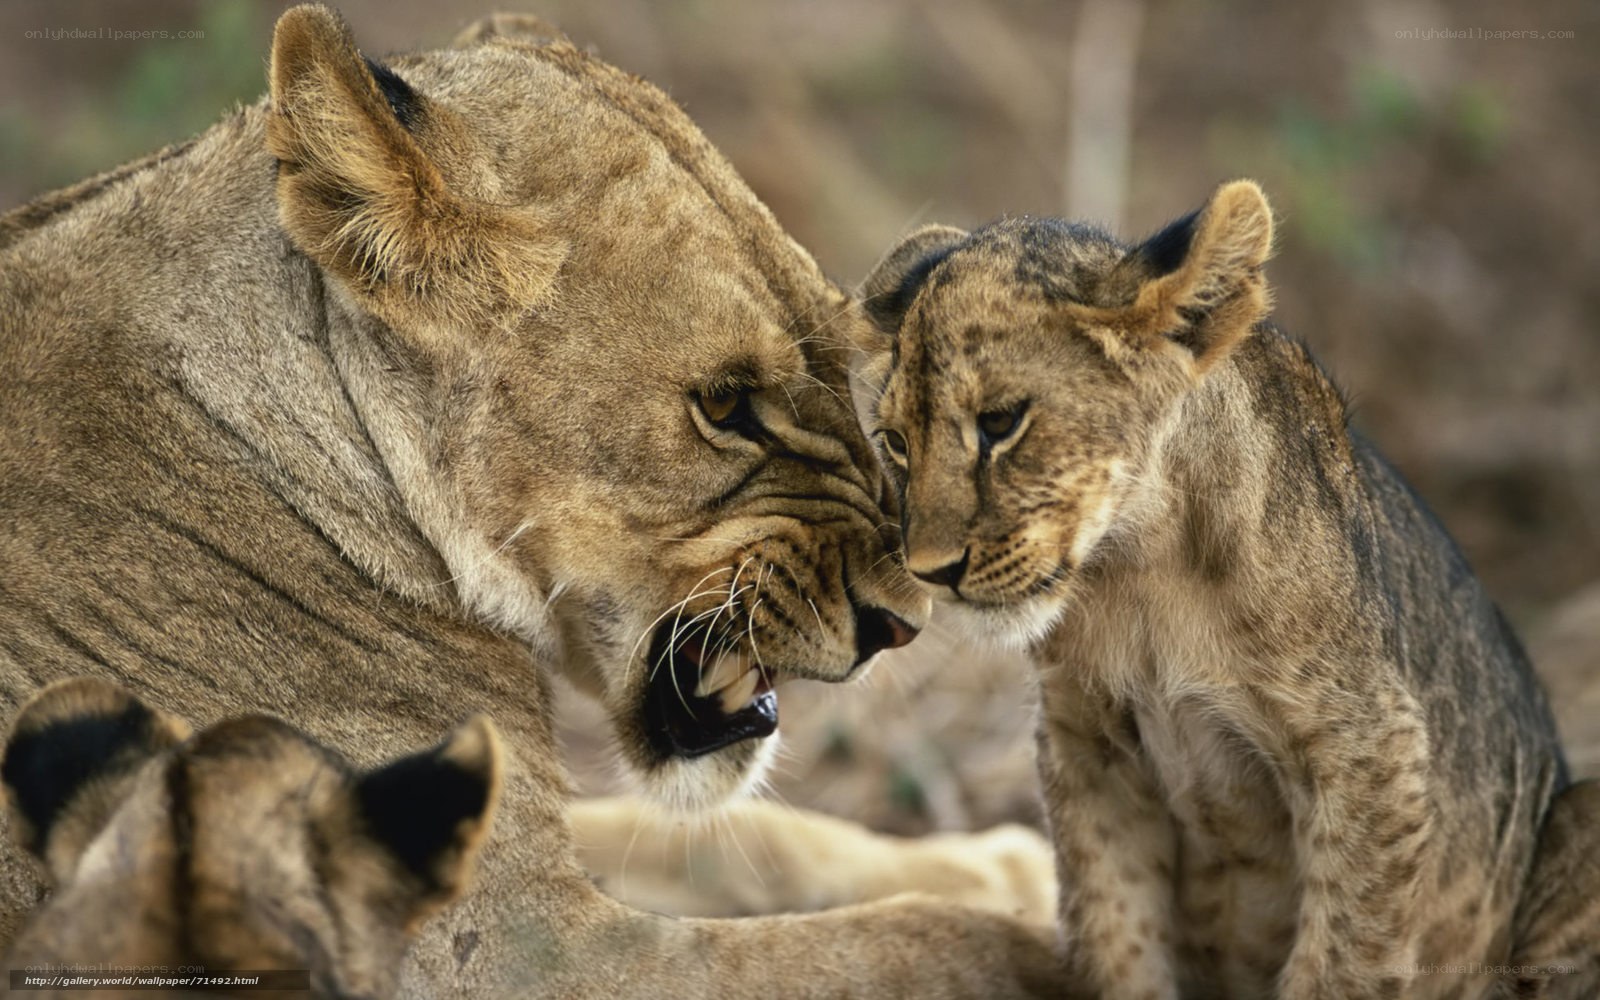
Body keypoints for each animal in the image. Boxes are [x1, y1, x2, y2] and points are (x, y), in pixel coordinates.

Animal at [853, 180, 1600, 999]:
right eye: (895, 442)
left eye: (1000, 422)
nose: (930, 570)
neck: (1141, 570)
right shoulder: (1088, 749)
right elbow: (1118, 939)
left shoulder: (1372, 748)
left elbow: (1342, 959)